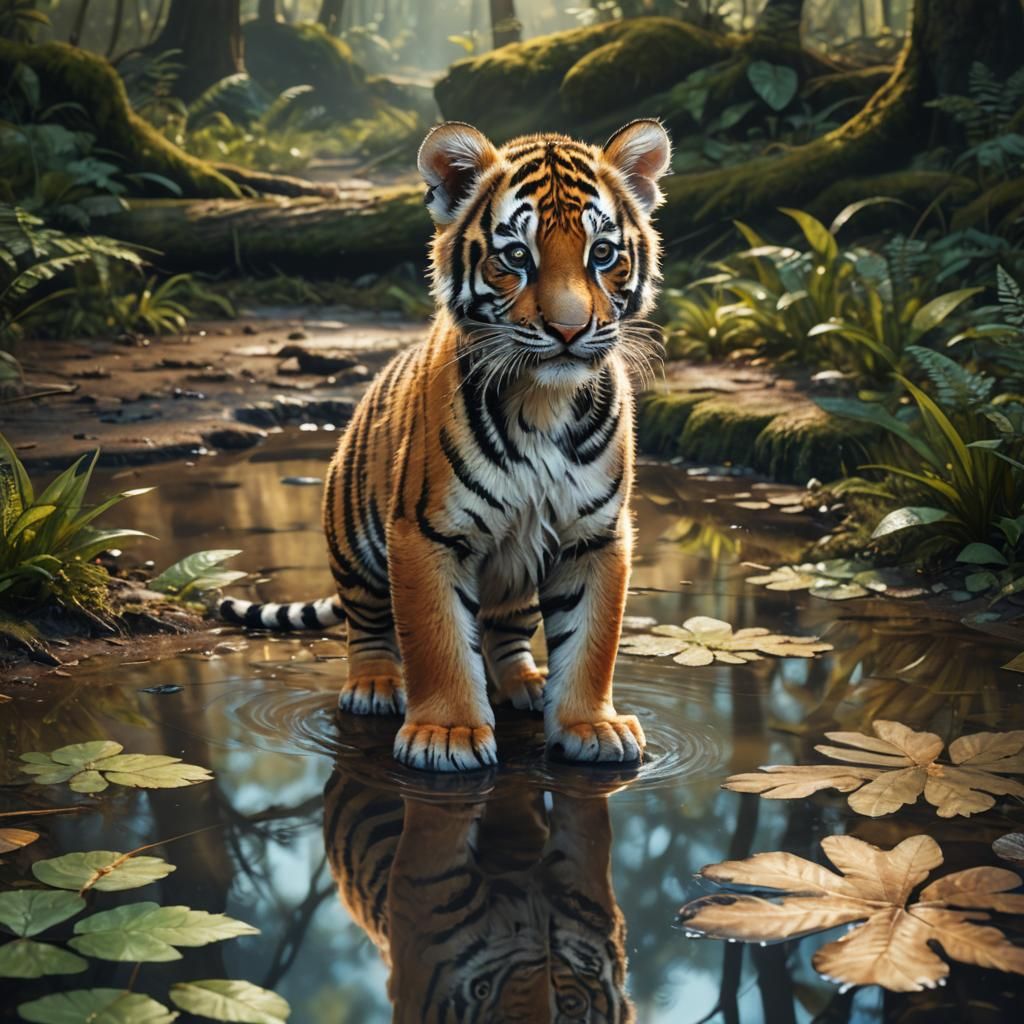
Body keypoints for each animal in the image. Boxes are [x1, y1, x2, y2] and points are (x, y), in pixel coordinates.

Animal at [221, 118, 672, 772]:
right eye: (517, 256)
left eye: (603, 253)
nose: (569, 330)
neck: (543, 401)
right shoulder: (425, 532)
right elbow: (437, 641)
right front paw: (448, 733)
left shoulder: (595, 536)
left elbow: (591, 642)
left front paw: (591, 725)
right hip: (354, 540)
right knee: (368, 623)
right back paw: (374, 685)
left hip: (516, 576)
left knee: (505, 632)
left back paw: (526, 682)